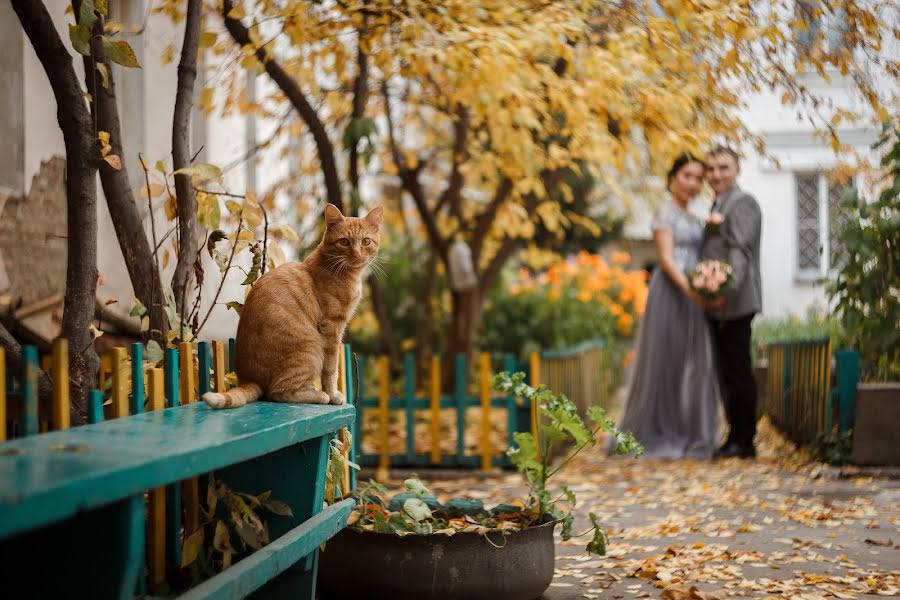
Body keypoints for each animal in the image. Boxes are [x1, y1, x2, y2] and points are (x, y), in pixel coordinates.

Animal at [202, 204, 382, 410]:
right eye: (344, 242)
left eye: (366, 241)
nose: (357, 254)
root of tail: (249, 378)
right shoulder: (332, 328)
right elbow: (331, 369)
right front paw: (333, 394)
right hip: (311, 348)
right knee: (277, 392)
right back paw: (319, 395)